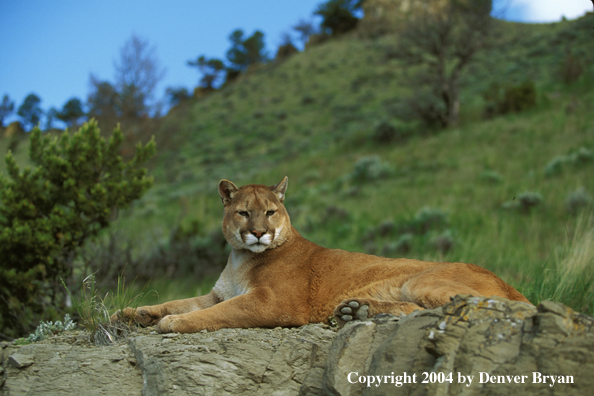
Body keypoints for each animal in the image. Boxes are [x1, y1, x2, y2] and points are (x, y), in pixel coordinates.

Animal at [113, 178, 528, 332]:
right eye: (244, 212)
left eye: (270, 211)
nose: (258, 233)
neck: (240, 257)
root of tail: (510, 283)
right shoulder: (215, 293)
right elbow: (177, 301)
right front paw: (132, 314)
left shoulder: (273, 302)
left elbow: (219, 313)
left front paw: (172, 324)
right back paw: (356, 311)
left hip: (423, 279)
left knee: (479, 306)